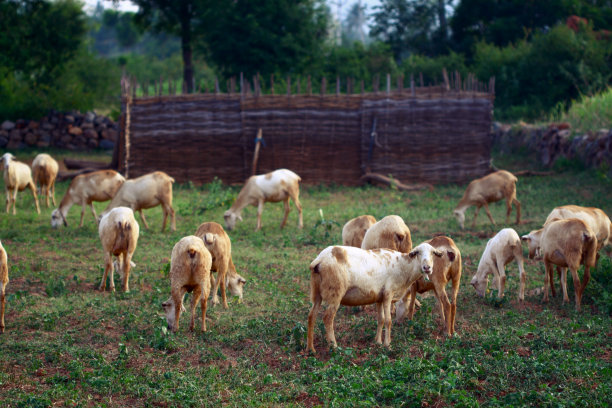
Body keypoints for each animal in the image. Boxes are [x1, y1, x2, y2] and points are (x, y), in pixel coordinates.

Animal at [308, 242, 442, 354]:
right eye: (418, 252)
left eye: (433, 253)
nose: (427, 268)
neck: (403, 267)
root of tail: (319, 259)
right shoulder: (388, 293)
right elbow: (388, 320)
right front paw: (387, 345)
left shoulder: (379, 298)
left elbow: (380, 319)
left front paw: (378, 342)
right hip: (335, 293)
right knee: (327, 318)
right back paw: (334, 346)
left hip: (316, 293)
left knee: (311, 316)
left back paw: (311, 349)